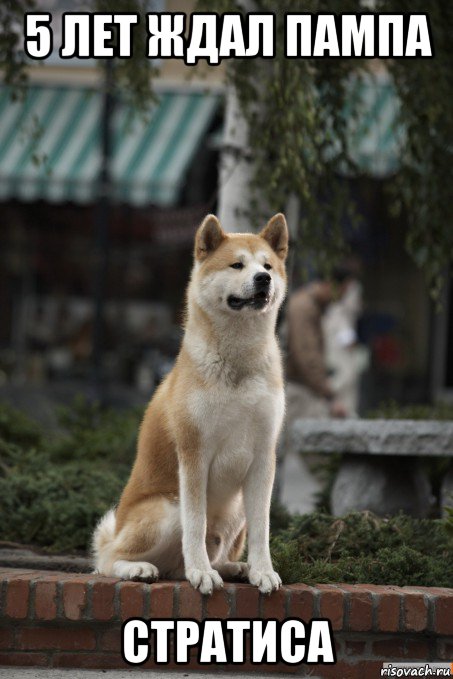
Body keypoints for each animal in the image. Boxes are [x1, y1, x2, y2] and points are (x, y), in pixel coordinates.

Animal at [93, 212, 288, 596]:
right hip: (167, 508)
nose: (263, 279)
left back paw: (235, 568)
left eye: (268, 266)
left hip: (236, 509)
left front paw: (263, 571)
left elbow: (263, 530)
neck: (237, 364)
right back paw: (142, 568)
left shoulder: (263, 457)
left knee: (203, 558)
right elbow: (195, 526)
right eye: (237, 264)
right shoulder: (194, 454)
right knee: (108, 560)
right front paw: (201, 573)